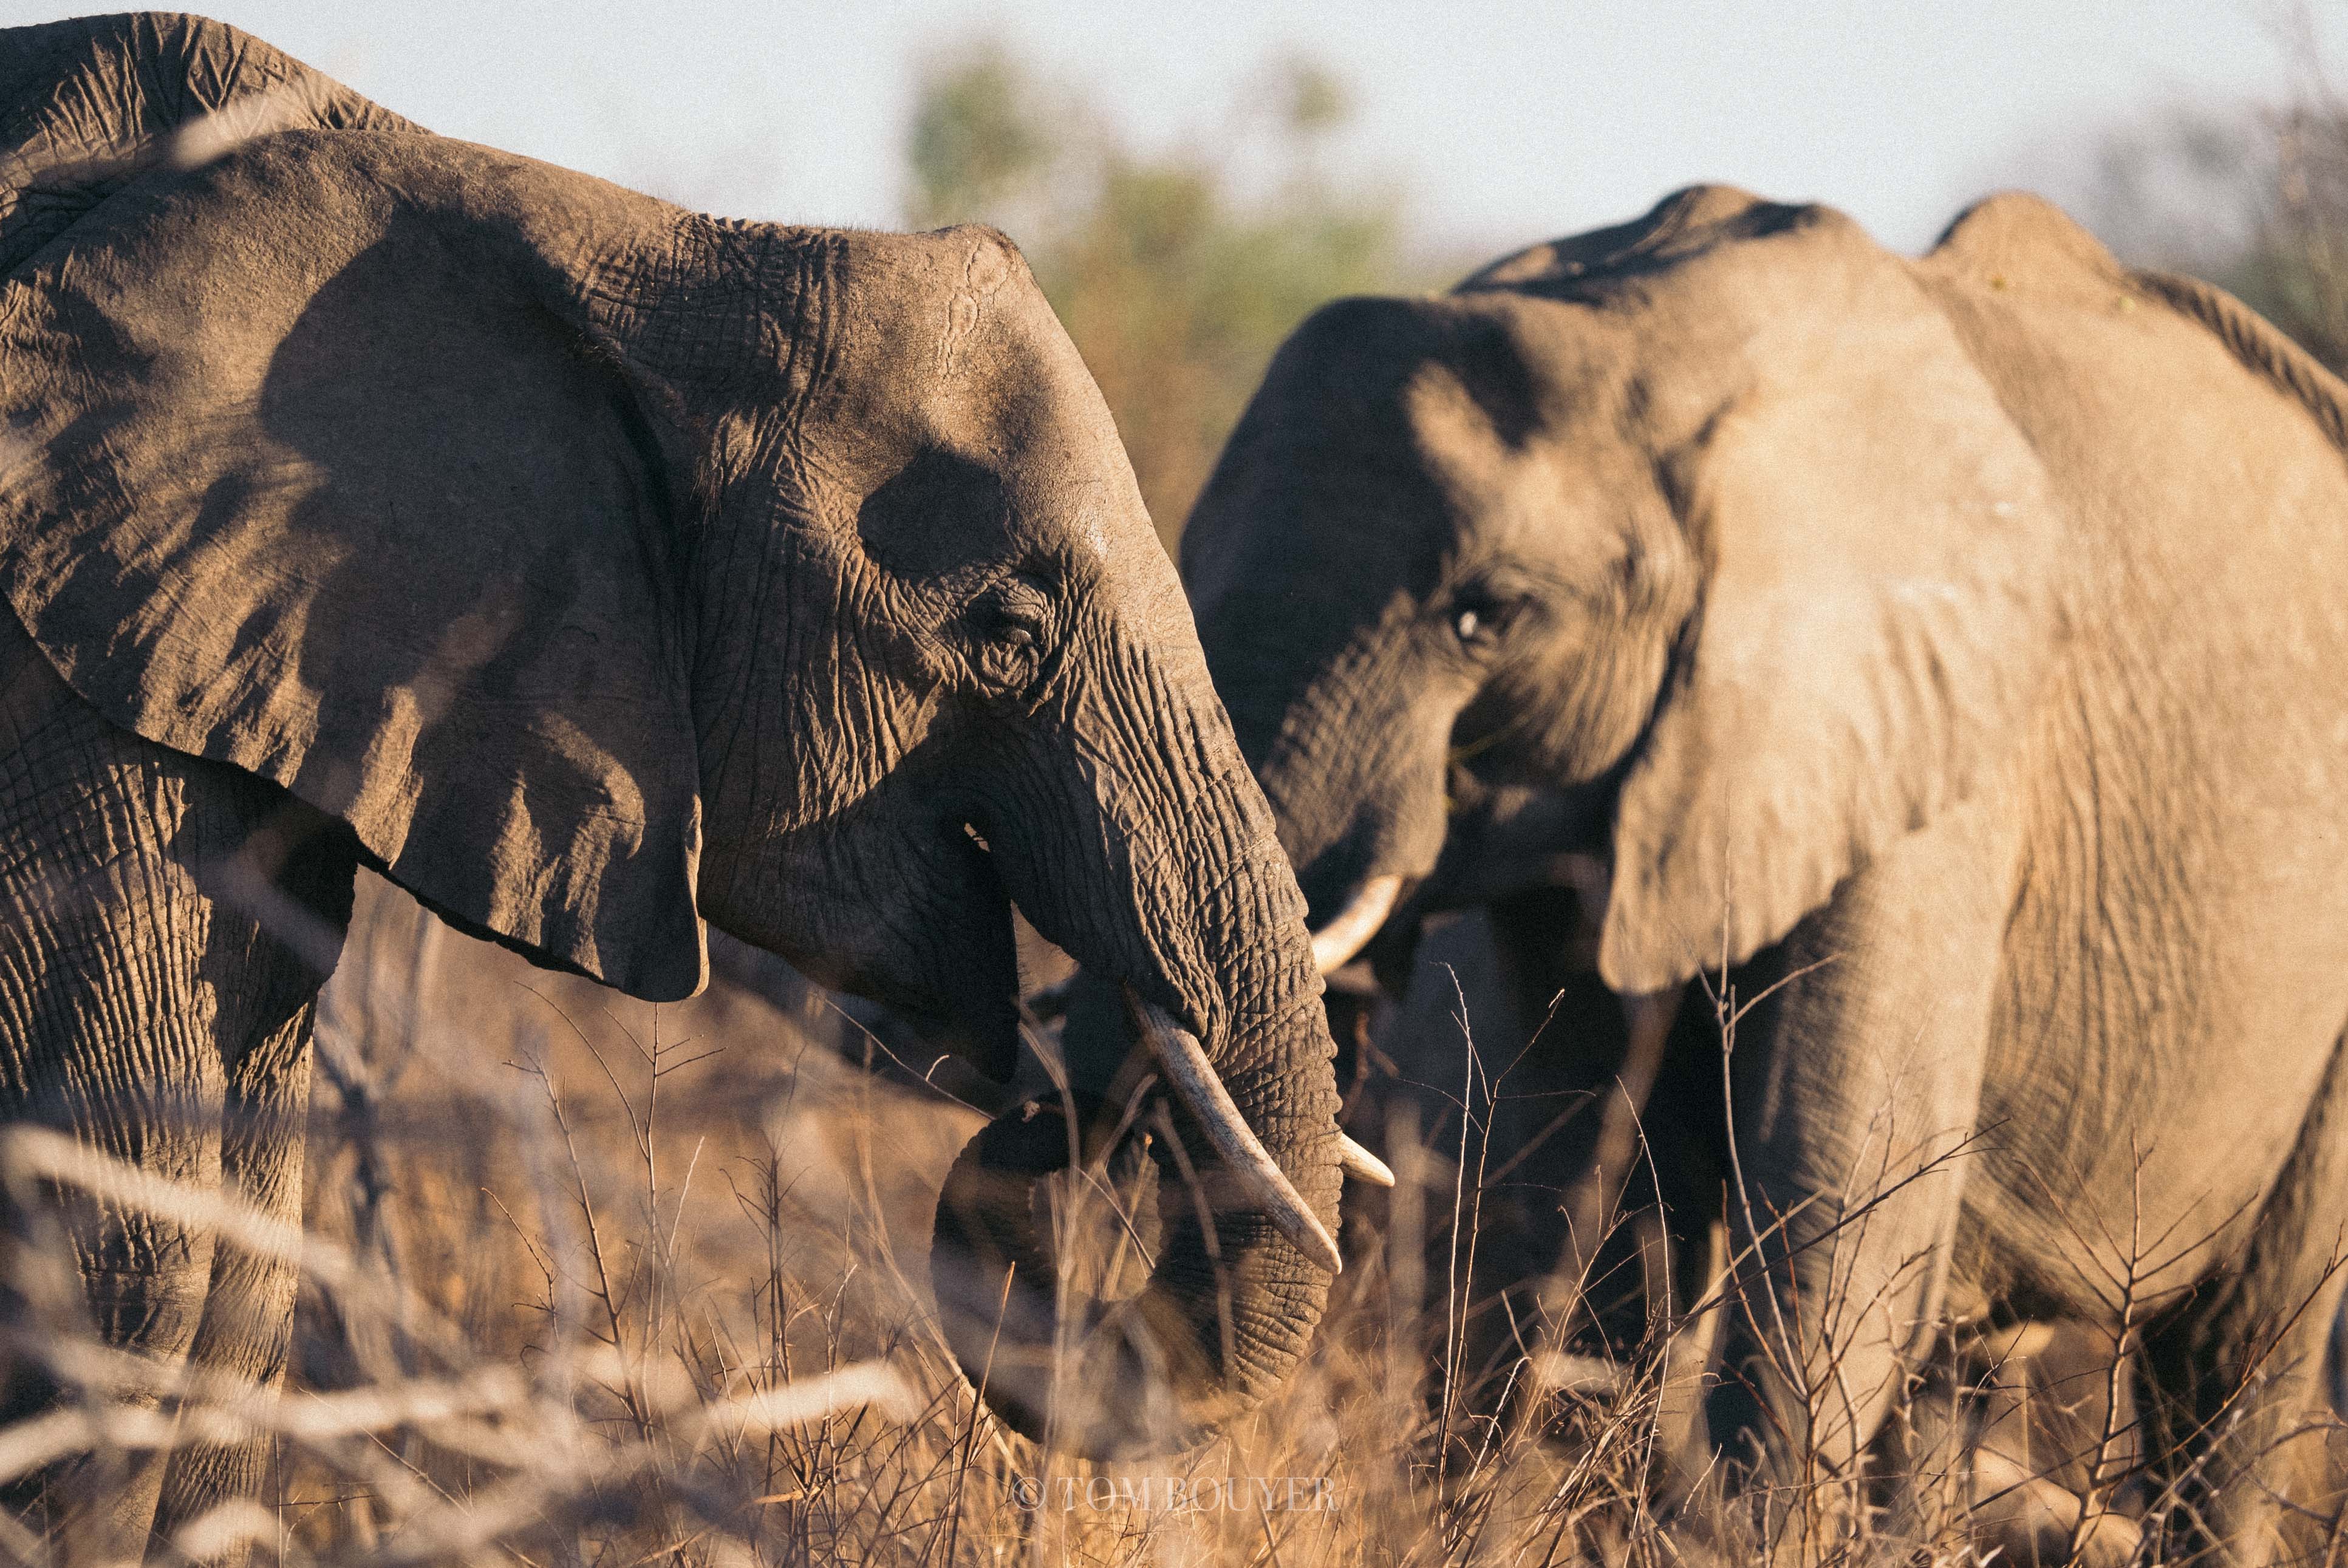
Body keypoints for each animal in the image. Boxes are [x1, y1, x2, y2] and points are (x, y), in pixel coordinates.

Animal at [1169, 181, 2348, 1561]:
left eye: (1488, 615)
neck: (1655, 339)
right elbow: (1573, 1187)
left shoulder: (1940, 760)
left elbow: (1835, 1193)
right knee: (1953, 1361)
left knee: (2231, 1363)